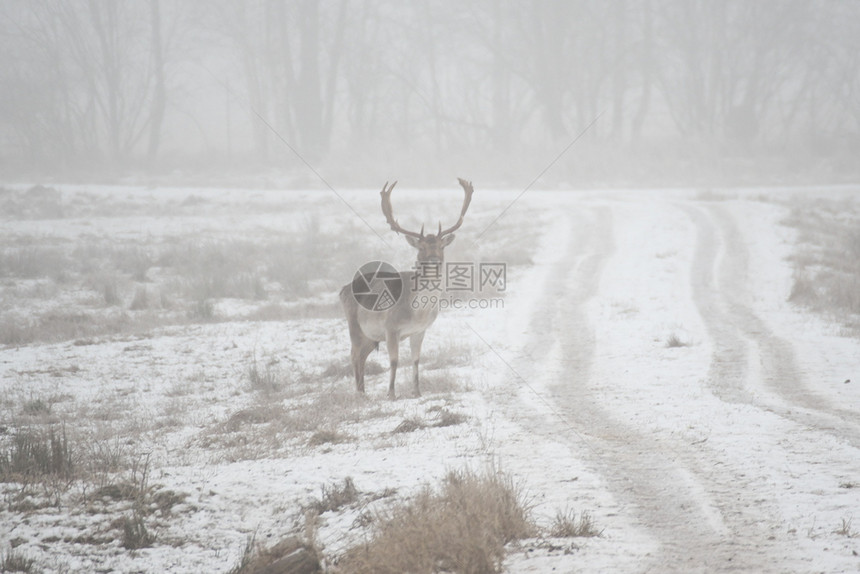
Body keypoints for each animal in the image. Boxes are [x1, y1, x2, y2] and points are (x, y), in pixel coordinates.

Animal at [338, 180, 474, 400]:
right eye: (421, 248)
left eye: (441, 246)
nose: (434, 261)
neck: (417, 312)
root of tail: (342, 290)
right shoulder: (390, 328)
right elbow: (394, 361)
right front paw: (391, 394)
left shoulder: (419, 331)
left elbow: (416, 360)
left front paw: (417, 391)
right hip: (354, 326)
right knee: (353, 355)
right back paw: (359, 393)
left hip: (371, 336)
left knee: (362, 356)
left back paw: (363, 391)